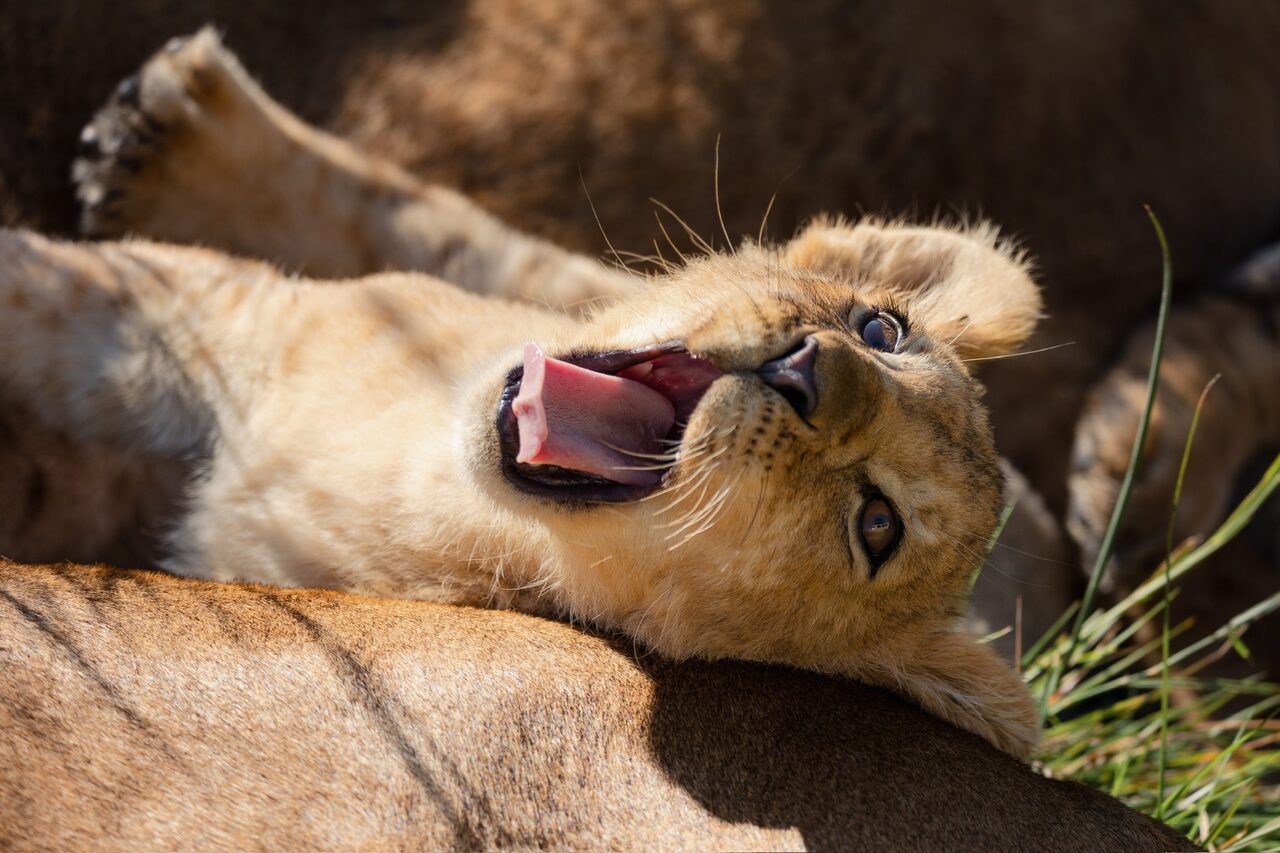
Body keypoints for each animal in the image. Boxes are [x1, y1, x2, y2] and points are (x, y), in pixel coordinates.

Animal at [0, 31, 1047, 757]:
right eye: (882, 330)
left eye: (877, 526)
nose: (808, 371)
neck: (426, 473)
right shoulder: (212, 319)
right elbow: (44, 290)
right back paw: (169, 129)